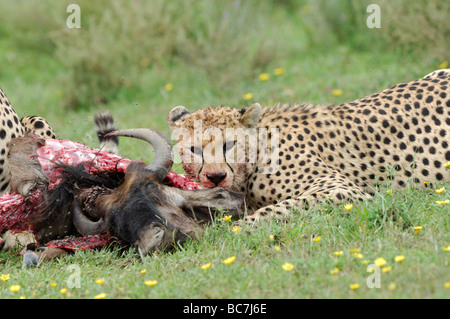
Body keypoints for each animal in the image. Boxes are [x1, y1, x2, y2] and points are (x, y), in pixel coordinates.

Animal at [168, 69, 450, 226]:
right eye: (195, 149)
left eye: (229, 144)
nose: (215, 177)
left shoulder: (343, 191)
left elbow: (282, 207)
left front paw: (237, 230)